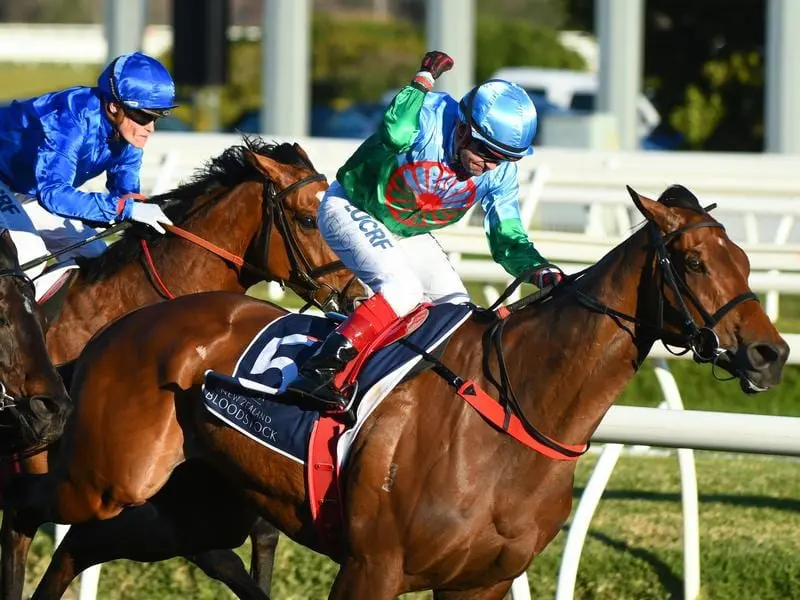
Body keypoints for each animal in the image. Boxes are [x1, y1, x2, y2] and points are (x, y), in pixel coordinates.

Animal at [25, 185, 788, 596]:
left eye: (747, 260)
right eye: (693, 261)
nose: (771, 353)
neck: (513, 411)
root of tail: (125, 324)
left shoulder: (480, 584)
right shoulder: (373, 568)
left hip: (190, 506)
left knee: (83, 546)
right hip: (105, 477)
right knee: (30, 510)